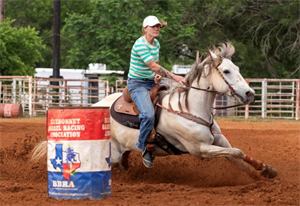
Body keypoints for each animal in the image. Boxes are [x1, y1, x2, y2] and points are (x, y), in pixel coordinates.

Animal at [31, 43, 278, 179]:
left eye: (237, 68)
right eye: (226, 71)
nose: (250, 94)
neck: (190, 110)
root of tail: (94, 107)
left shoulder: (218, 141)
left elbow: (237, 155)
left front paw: (264, 171)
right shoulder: (200, 149)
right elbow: (236, 153)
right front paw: (263, 172)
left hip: (123, 151)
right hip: (112, 152)